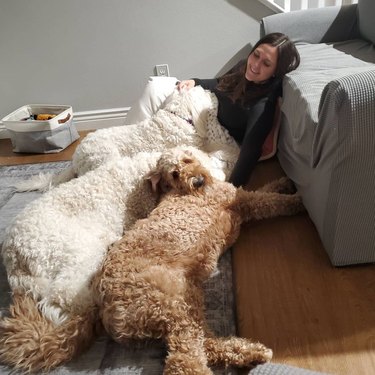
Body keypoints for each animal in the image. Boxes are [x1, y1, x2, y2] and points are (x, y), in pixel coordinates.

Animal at [92, 148, 306, 374]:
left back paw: (251, 353)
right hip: (173, 305)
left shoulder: (240, 199)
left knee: (207, 345)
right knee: (185, 359)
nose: (198, 181)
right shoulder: (243, 200)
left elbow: (266, 189)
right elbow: (271, 200)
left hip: (188, 300)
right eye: (174, 173)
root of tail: (105, 307)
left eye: (187, 160)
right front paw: (298, 200)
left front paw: (284, 183)